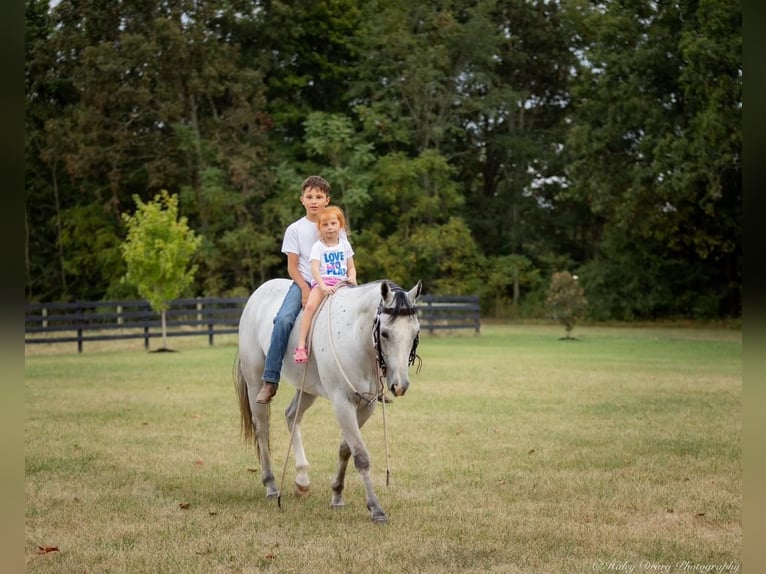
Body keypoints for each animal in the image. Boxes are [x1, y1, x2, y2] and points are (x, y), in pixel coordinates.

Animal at [237, 282, 424, 524]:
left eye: (415, 333)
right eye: (385, 333)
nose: (399, 385)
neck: (355, 337)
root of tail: (258, 293)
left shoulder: (366, 406)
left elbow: (346, 449)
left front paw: (337, 495)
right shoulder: (342, 403)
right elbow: (361, 456)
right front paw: (376, 509)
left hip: (307, 388)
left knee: (291, 415)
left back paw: (302, 480)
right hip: (254, 382)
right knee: (262, 429)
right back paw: (271, 486)